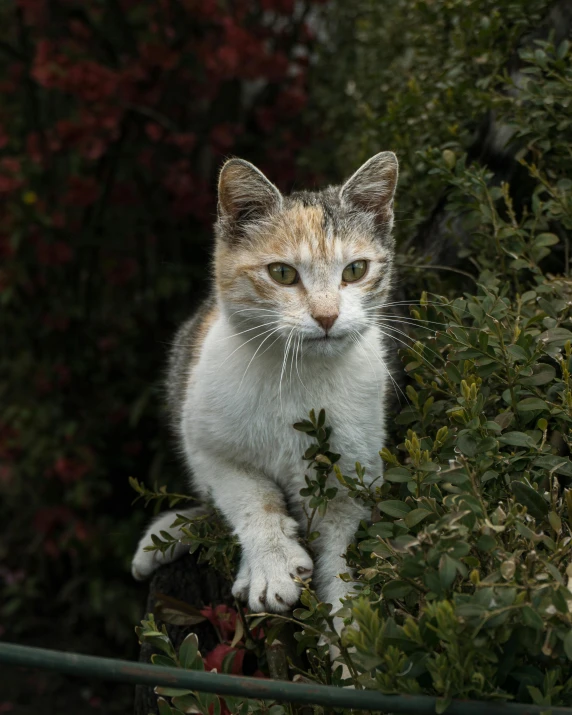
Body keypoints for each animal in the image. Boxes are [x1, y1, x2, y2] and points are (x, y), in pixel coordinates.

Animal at [131, 154, 398, 620]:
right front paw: (271, 564)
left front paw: (351, 626)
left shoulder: (353, 483)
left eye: (355, 270)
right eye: (282, 273)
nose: (327, 316)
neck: (298, 377)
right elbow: (250, 495)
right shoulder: (207, 445)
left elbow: (343, 557)